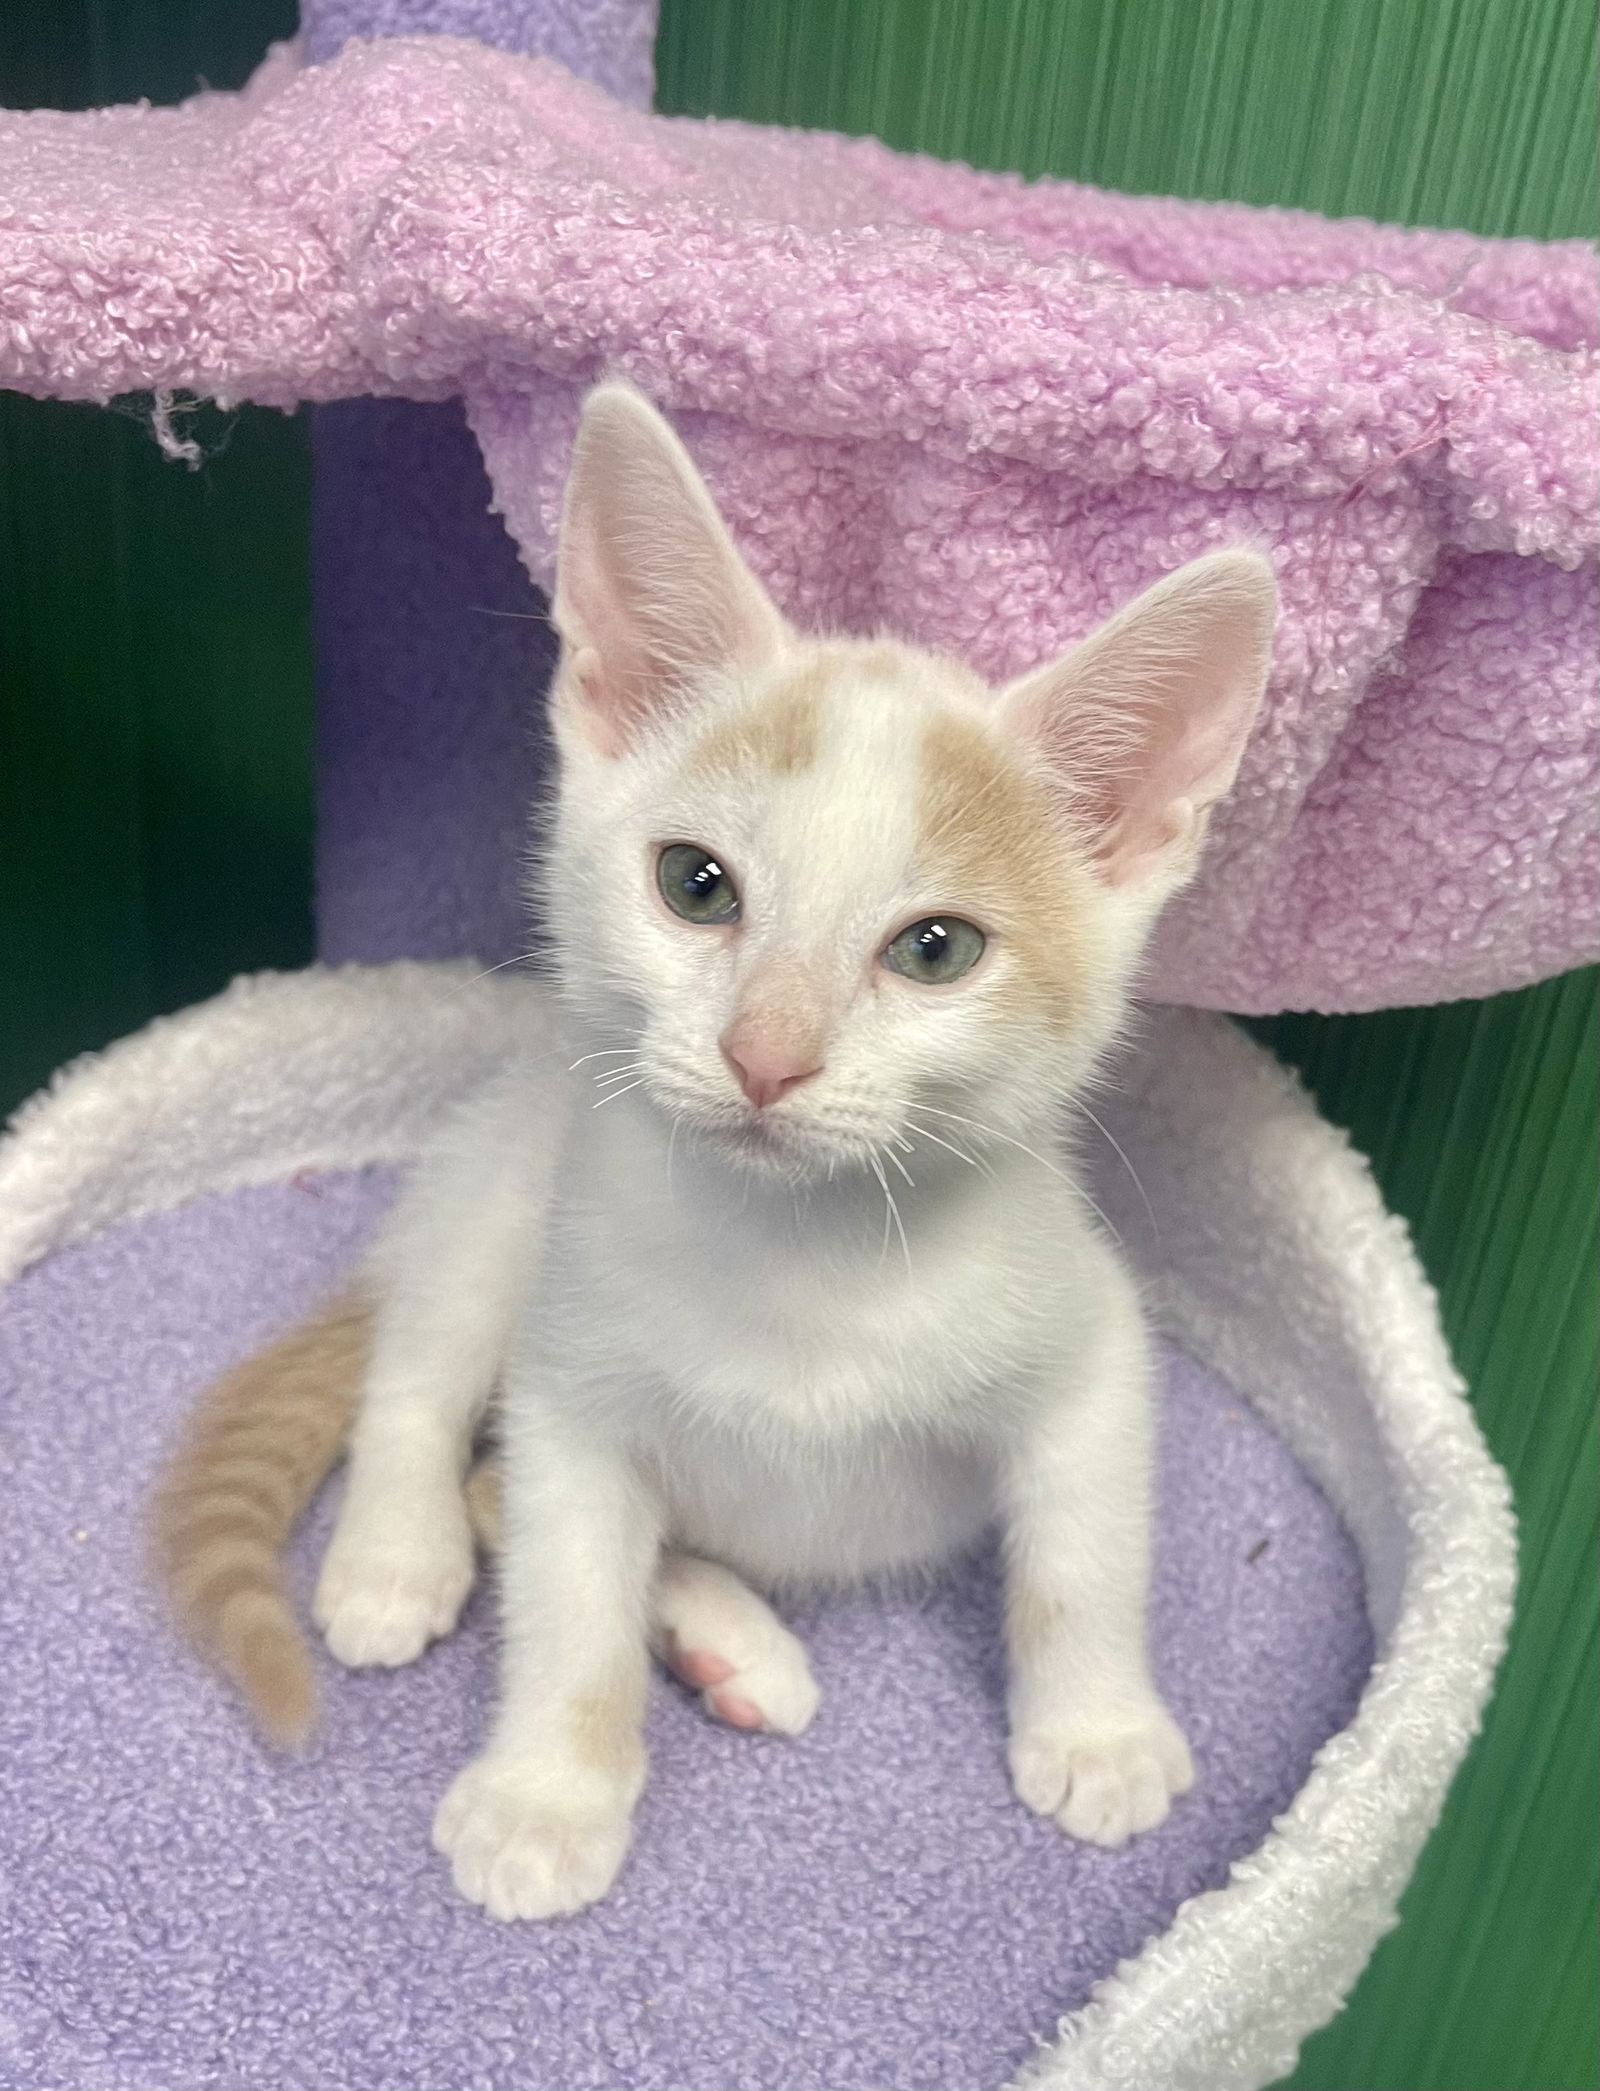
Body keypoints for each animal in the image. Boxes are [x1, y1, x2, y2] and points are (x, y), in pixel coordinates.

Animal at [152, 384, 1271, 1915]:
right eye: (696, 885)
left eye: (937, 949)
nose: (766, 1054)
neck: (803, 1259)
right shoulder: (572, 1385)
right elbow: (566, 1595)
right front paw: (546, 1797)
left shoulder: (1087, 1335)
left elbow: (1080, 1552)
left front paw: (1097, 1731)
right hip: (497, 1195)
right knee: (433, 1397)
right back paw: (398, 1555)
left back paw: (727, 1641)